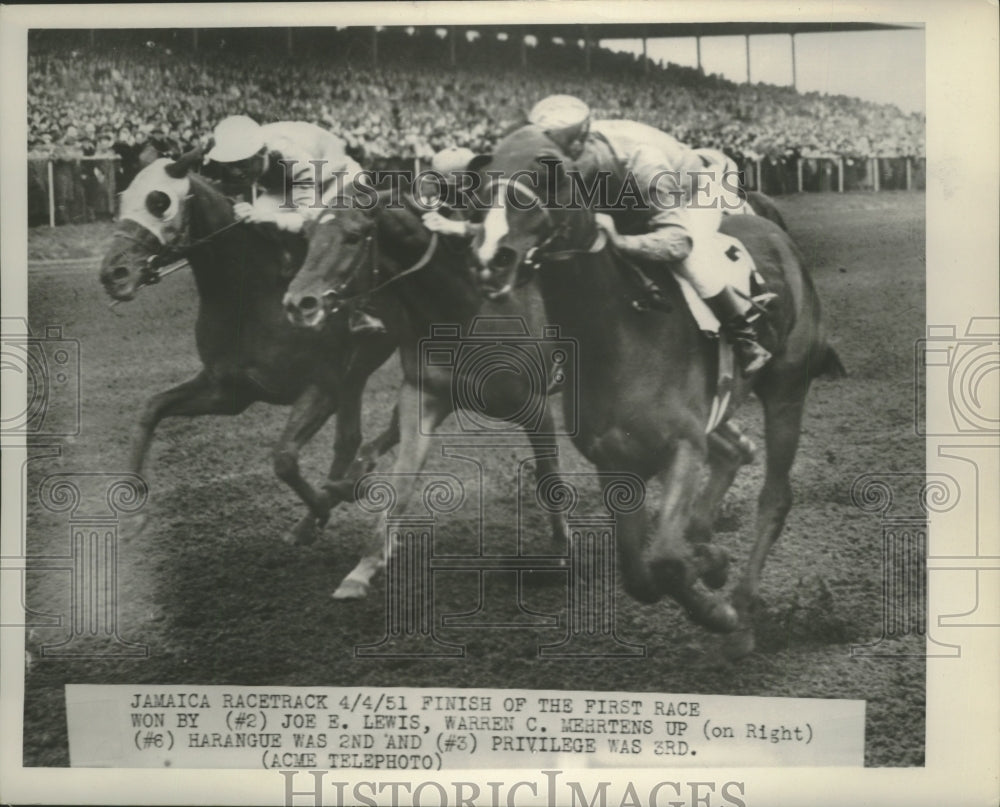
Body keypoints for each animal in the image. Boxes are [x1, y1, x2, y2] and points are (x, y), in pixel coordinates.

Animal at [99, 157, 396, 544]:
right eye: (121, 199)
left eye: (159, 202)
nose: (113, 274)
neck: (253, 293)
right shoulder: (229, 390)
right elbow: (151, 408)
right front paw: (133, 516)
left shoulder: (323, 385)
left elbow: (284, 458)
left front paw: (322, 507)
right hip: (358, 371)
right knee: (350, 438)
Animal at [282, 193, 572, 600]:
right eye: (307, 237)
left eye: (353, 237)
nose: (298, 303)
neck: (468, 310)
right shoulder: (423, 397)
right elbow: (402, 481)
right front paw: (364, 568)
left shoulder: (537, 407)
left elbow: (549, 476)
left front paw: (561, 548)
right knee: (367, 444)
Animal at [470, 124, 844, 656]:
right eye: (482, 188)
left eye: (548, 179)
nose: (491, 260)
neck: (619, 334)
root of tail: (776, 232)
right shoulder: (615, 463)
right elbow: (639, 576)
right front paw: (708, 564)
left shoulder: (682, 446)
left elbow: (665, 560)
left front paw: (718, 606)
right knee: (734, 455)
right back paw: (708, 546)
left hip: (787, 391)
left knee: (774, 498)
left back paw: (743, 614)